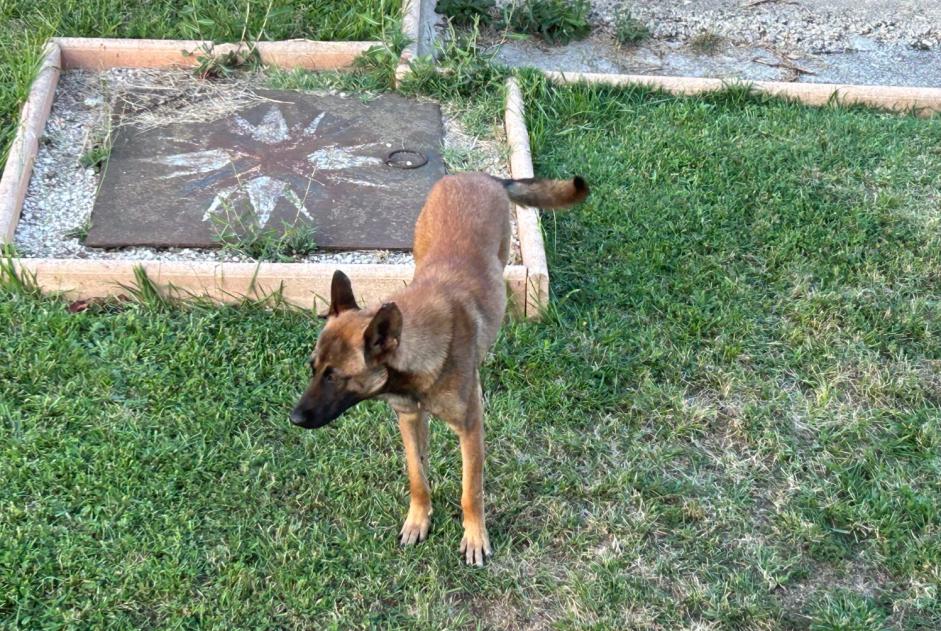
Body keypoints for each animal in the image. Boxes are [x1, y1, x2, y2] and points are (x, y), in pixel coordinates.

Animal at [294, 173, 588, 568]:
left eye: (334, 376)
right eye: (313, 368)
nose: (294, 418)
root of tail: (479, 175)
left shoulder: (470, 428)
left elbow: (470, 490)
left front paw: (475, 538)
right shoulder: (408, 417)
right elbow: (417, 475)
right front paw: (418, 520)